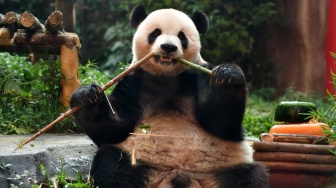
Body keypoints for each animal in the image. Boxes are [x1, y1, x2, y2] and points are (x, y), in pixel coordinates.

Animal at [69, 4, 270, 188]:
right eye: (156, 33)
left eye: (182, 36)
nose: (168, 47)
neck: (166, 78)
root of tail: (181, 177)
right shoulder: (134, 83)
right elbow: (115, 127)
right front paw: (87, 97)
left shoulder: (197, 77)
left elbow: (221, 121)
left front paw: (227, 77)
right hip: (137, 160)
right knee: (112, 166)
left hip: (224, 167)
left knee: (250, 176)